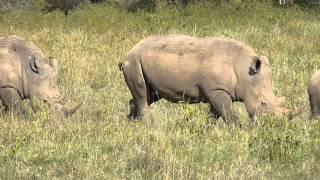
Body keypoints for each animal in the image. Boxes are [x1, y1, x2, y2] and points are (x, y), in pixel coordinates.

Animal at [119, 34, 288, 123]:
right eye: (263, 103)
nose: (275, 124)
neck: (244, 72)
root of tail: (129, 51)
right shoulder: (217, 89)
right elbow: (228, 114)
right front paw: (238, 131)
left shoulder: (216, 91)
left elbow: (214, 114)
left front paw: (207, 131)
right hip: (134, 61)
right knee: (142, 94)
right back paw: (150, 125)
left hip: (141, 62)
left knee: (149, 95)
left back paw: (132, 123)